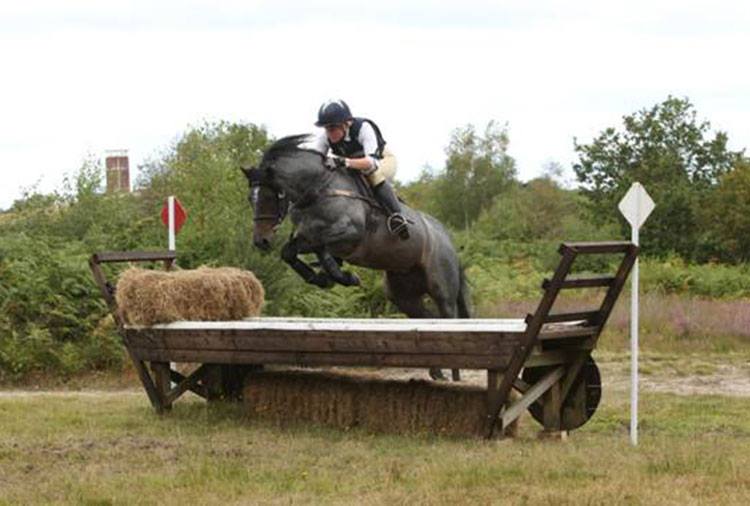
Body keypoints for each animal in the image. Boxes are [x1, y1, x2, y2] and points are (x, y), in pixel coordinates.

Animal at [244, 134, 472, 380]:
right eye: (250, 198)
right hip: (403, 293)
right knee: (426, 318)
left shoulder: (350, 234)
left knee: (450, 317)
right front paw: (324, 277)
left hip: (442, 288)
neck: (319, 188)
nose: (261, 241)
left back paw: (455, 375)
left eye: (271, 196)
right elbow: (292, 252)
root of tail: (448, 240)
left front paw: (343, 276)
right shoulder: (308, 237)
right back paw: (437, 371)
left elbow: (320, 246)